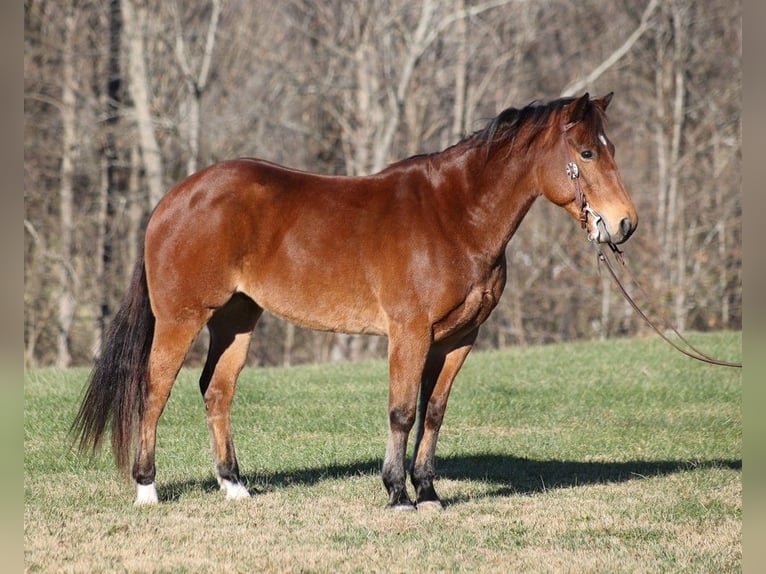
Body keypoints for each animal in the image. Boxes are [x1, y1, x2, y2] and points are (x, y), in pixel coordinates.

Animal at [72, 94, 640, 512]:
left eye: (611, 147)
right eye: (587, 154)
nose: (623, 223)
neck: (455, 217)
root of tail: (172, 200)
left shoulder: (459, 338)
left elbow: (434, 413)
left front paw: (428, 492)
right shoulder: (409, 332)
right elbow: (402, 411)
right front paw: (397, 494)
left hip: (237, 319)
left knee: (216, 391)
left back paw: (234, 485)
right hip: (182, 317)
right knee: (153, 390)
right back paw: (147, 489)